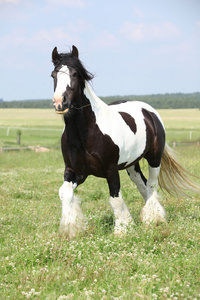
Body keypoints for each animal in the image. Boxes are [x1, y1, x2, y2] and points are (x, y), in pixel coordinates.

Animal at [51, 44, 198, 238]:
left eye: (75, 74)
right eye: (53, 74)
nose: (60, 102)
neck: (86, 133)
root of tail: (150, 112)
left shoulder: (111, 170)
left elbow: (115, 198)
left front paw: (122, 229)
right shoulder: (75, 171)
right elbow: (65, 193)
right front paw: (70, 229)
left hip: (154, 158)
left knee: (151, 185)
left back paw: (153, 218)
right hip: (132, 165)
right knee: (142, 184)